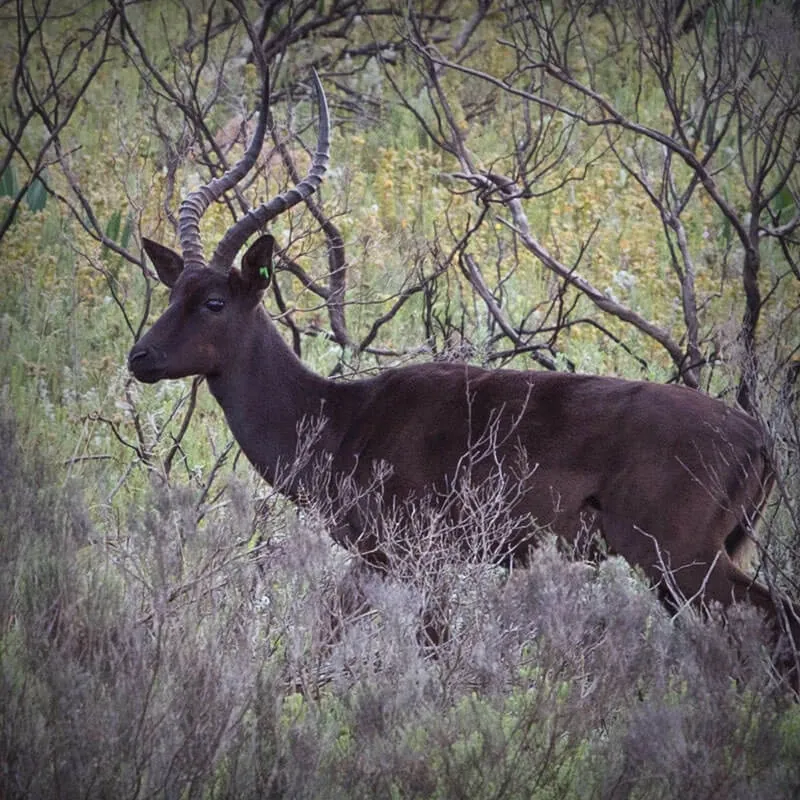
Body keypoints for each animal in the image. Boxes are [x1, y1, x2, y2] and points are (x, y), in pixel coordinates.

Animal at [128, 69, 796, 656]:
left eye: (214, 301)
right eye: (173, 290)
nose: (140, 358)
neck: (342, 417)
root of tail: (758, 439)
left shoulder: (415, 558)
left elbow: (422, 645)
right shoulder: (381, 563)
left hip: (681, 562)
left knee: (775, 622)